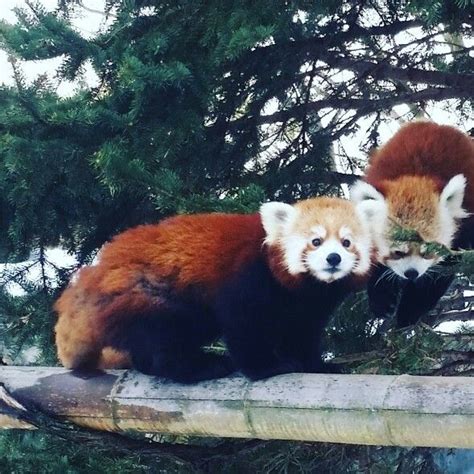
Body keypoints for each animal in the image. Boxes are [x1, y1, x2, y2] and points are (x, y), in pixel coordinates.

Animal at [53, 196, 376, 382]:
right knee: (166, 338)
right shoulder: (248, 278)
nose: (333, 259)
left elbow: (302, 334)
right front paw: (266, 368)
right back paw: (199, 368)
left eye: (347, 242)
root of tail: (97, 272)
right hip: (146, 295)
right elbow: (243, 326)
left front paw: (314, 365)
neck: (305, 289)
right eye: (316, 241)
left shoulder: (309, 308)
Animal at [350, 120, 472, 328]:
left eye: (427, 251)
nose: (411, 273)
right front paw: (381, 297)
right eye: (397, 252)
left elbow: (439, 275)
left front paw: (410, 311)